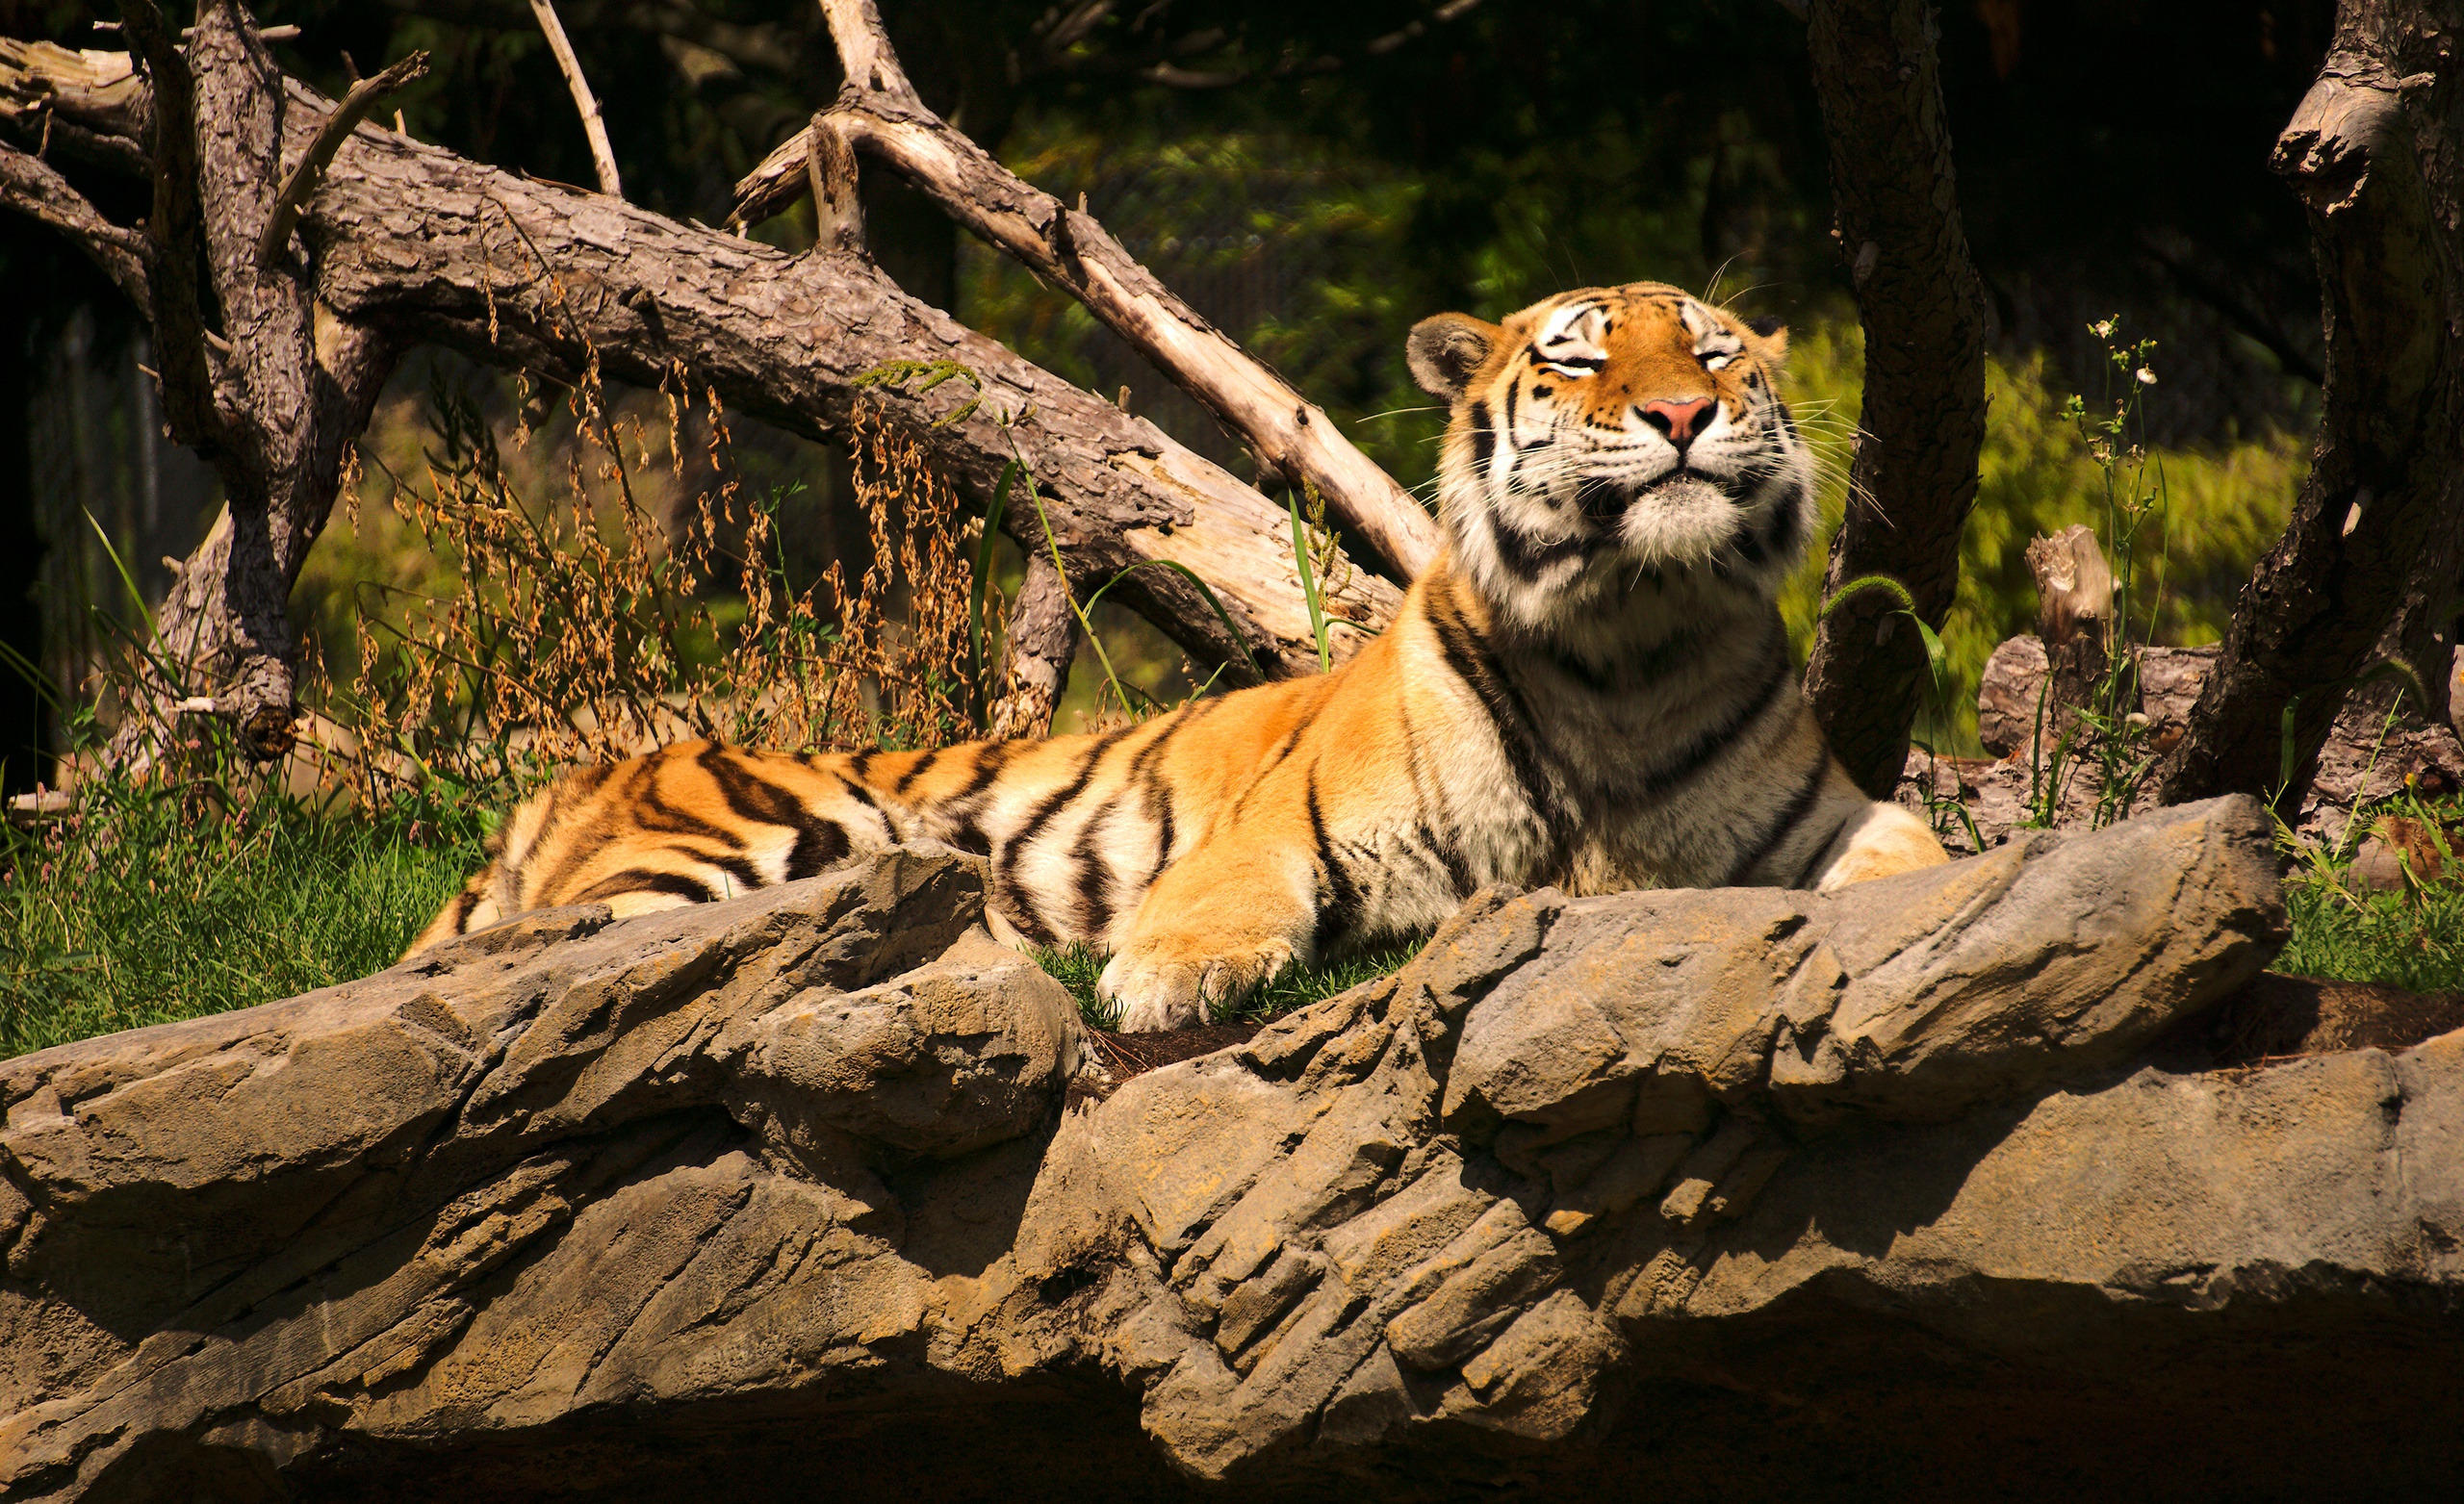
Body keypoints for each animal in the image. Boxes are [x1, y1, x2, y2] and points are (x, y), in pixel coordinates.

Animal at [408, 279, 1941, 1033]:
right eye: (1577, 362)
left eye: (1716, 355)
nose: (1684, 413)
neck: (1632, 636)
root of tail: (590, 773)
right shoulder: (1289, 819)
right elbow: (1219, 890)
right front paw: (1156, 980)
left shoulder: (1824, 814)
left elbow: (1917, 855)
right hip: (749, 841)